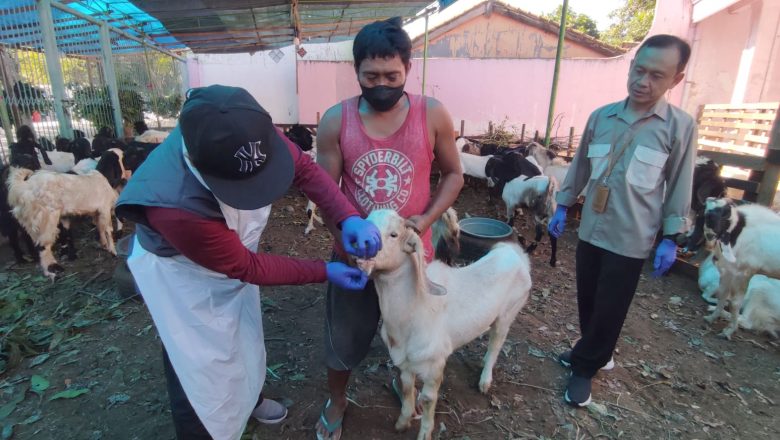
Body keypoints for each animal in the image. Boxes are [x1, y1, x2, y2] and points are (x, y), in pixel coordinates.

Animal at [356, 210, 532, 440]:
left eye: (394, 234)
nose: (360, 249)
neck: (414, 307)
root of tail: (515, 254)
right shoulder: (404, 360)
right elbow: (407, 388)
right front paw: (402, 423)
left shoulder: (434, 363)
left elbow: (427, 399)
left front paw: (424, 433)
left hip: (509, 312)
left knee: (497, 342)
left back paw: (485, 381)